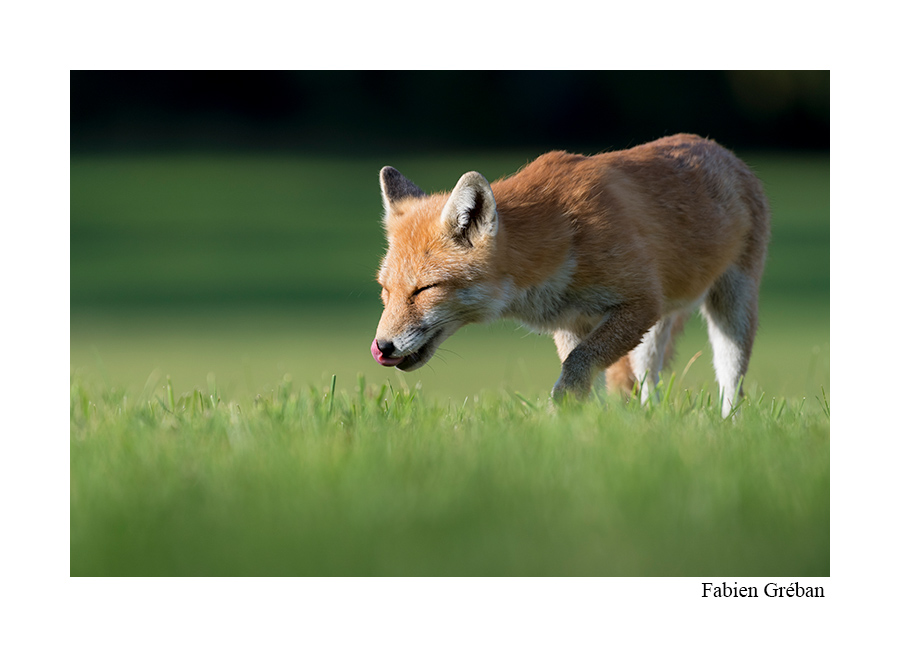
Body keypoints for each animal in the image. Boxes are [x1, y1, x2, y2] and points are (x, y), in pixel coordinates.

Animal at [370, 134, 770, 417]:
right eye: (386, 292)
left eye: (425, 289)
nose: (381, 347)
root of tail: (718, 148)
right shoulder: (570, 322)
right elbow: (582, 374)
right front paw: (583, 427)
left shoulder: (640, 303)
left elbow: (577, 366)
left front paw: (560, 413)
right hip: (654, 334)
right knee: (648, 383)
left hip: (729, 312)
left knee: (732, 384)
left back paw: (728, 426)